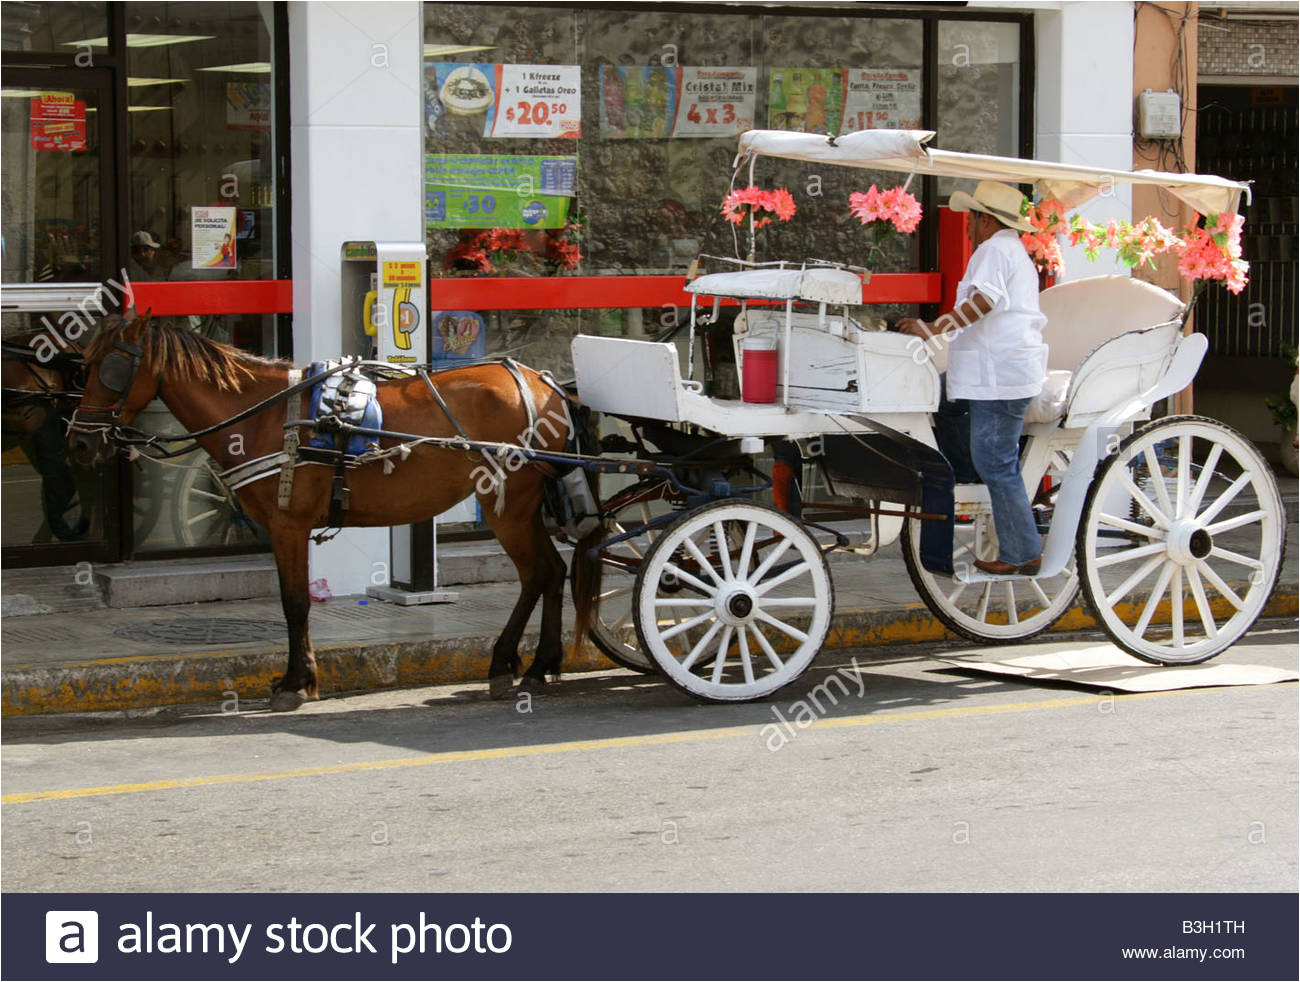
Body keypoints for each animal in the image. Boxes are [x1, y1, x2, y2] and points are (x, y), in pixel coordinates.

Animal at [73, 317, 592, 712]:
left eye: (109, 367)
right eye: (87, 365)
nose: (78, 440)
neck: (260, 416)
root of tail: (544, 384)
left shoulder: (287, 525)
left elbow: (294, 603)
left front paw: (295, 682)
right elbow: (294, 602)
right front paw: (300, 678)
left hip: (510, 506)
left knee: (538, 573)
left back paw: (513, 665)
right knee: (551, 572)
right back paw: (536, 666)